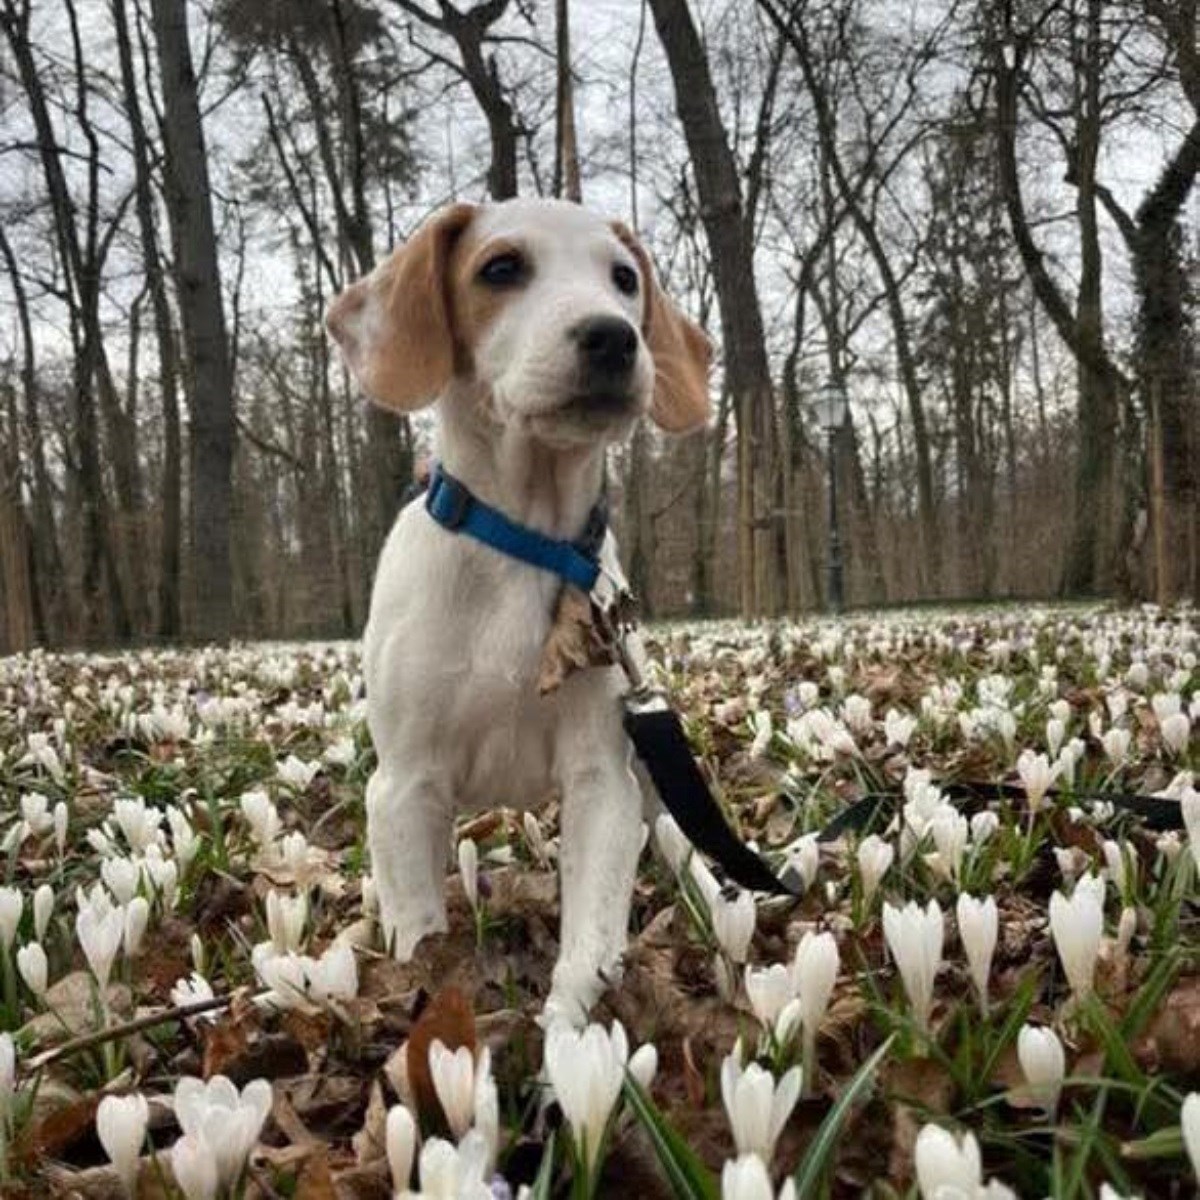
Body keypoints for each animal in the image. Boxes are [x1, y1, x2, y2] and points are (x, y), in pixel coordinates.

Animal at [324, 196, 705, 1022]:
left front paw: (568, 1034)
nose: (612, 336)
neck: (525, 540)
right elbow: (420, 930)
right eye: (500, 268)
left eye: (624, 279)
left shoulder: (601, 780)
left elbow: (588, 943)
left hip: (651, 775)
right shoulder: (404, 787)